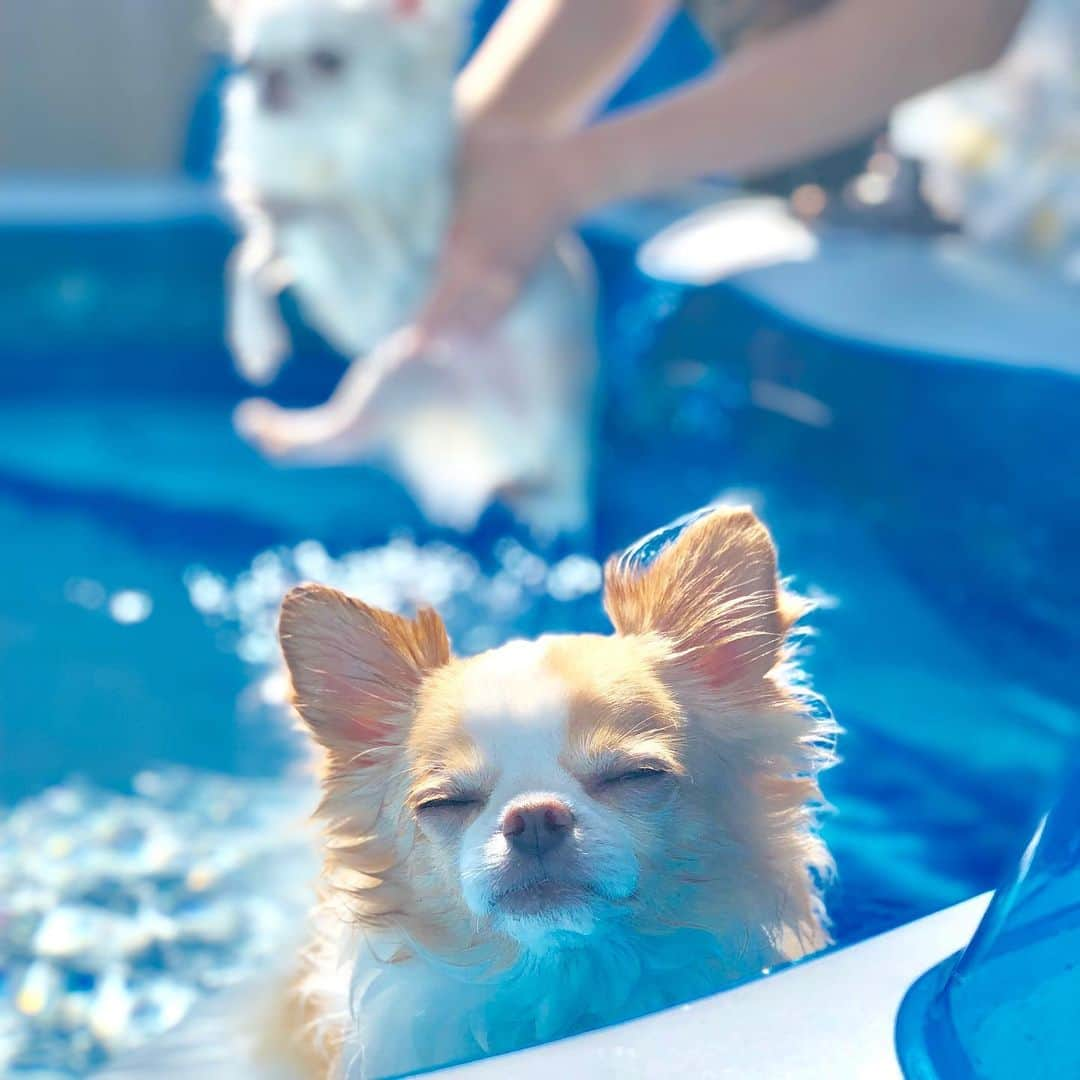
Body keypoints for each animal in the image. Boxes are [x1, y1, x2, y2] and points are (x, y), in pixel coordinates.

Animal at [213, 0, 596, 537]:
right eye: (247, 63)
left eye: (327, 61)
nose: (267, 79)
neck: (328, 155)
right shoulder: (318, 266)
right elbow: (250, 259)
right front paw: (254, 337)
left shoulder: (389, 264)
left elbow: (322, 214)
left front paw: (265, 198)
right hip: (393, 378)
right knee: (350, 437)